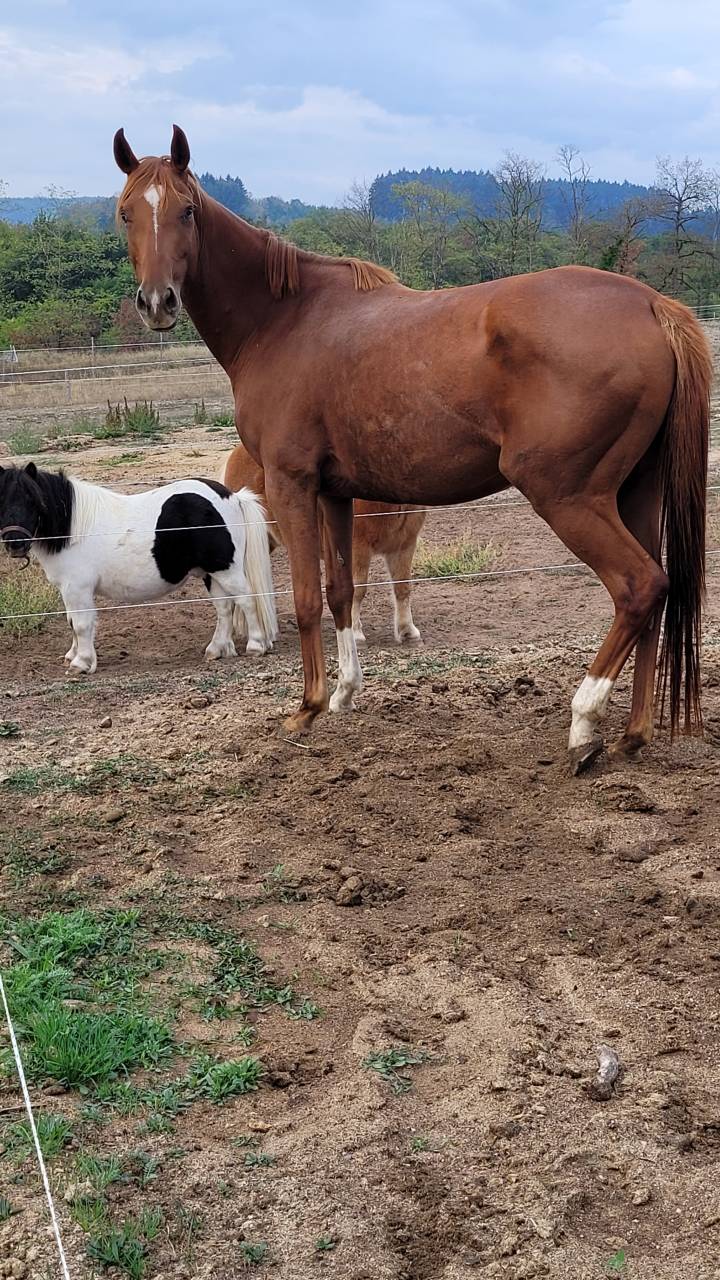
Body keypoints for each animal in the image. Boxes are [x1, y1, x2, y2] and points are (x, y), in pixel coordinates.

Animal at [0, 462, 277, 673]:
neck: (73, 529)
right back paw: (216, 650)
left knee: (247, 600)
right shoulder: (68, 590)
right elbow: (71, 622)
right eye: (1, 501)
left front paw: (81, 663)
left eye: (33, 500)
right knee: (224, 607)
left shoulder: (77, 589)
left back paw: (256, 646)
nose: (15, 543)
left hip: (225, 570)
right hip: (212, 573)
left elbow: (81, 624)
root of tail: (233, 497)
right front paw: (73, 655)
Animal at [222, 441, 426, 646]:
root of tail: (235, 454)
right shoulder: (357, 551)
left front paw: (408, 631)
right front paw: (356, 633)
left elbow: (402, 587)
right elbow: (358, 590)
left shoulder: (404, 547)